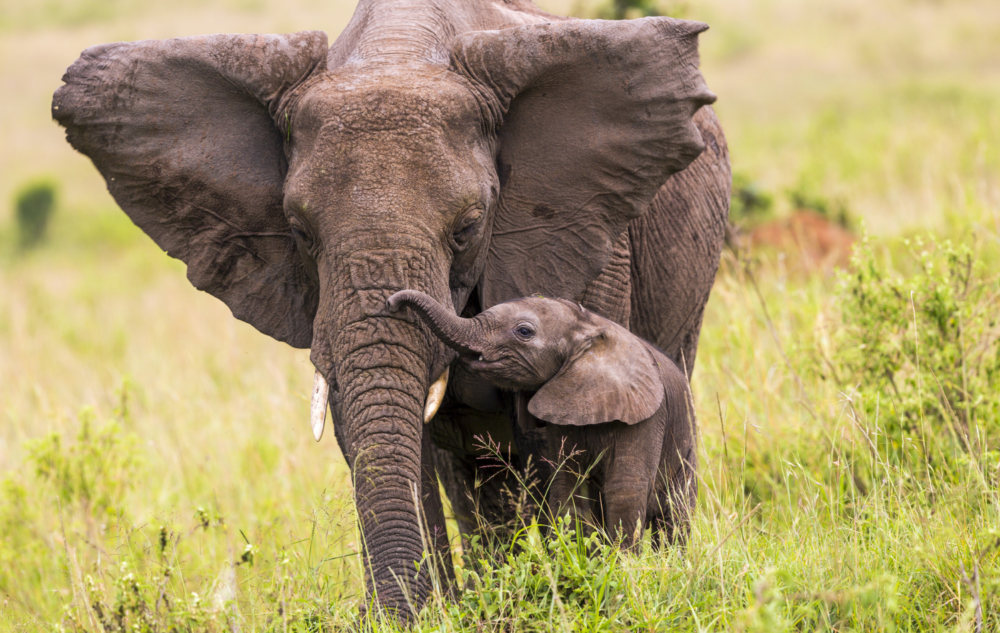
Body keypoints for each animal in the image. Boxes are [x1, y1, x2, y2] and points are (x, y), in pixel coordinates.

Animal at [387, 290, 698, 548]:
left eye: (524, 331)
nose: (391, 303)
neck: (589, 327)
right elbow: (565, 485)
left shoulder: (645, 419)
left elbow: (625, 490)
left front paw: (622, 567)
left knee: (674, 517)